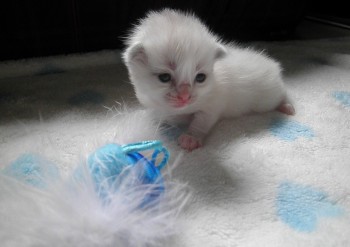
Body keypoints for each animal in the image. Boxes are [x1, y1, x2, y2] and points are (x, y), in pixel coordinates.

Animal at [121, 9, 294, 151]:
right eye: (164, 77)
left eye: (200, 77)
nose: (185, 97)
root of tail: (273, 65)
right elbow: (159, 115)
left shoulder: (213, 104)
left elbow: (201, 121)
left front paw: (191, 137)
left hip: (266, 99)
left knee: (283, 92)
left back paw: (287, 105)